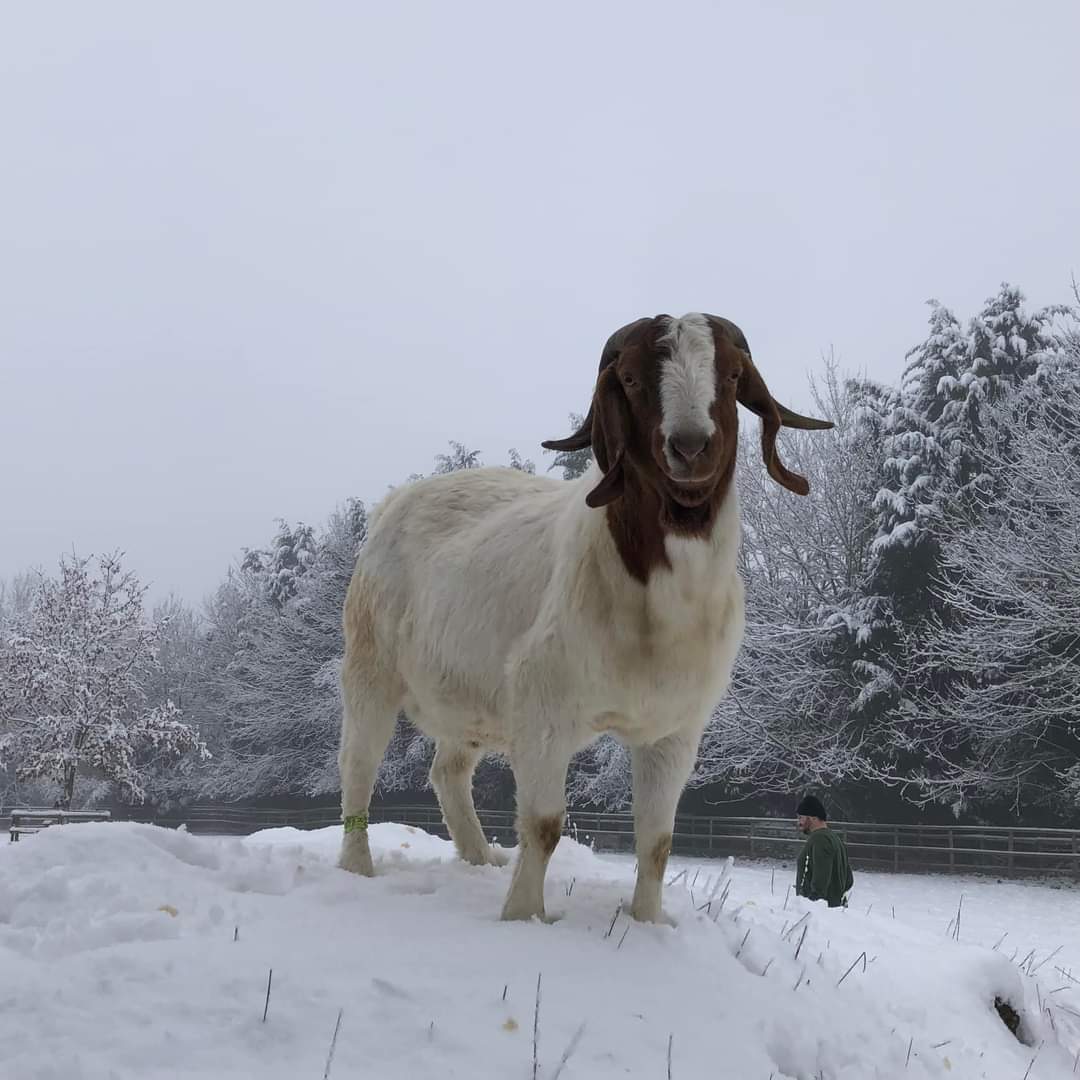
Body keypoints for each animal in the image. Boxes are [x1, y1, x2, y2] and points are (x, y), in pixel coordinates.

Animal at [338, 313, 832, 922]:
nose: (691, 446)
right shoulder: (543, 709)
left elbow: (657, 841)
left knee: (447, 771)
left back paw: (480, 860)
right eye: (631, 378)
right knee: (357, 766)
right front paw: (523, 917)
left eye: (734, 375)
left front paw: (648, 923)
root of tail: (393, 505)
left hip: (472, 698)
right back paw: (357, 869)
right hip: (370, 665)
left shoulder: (674, 730)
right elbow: (544, 825)